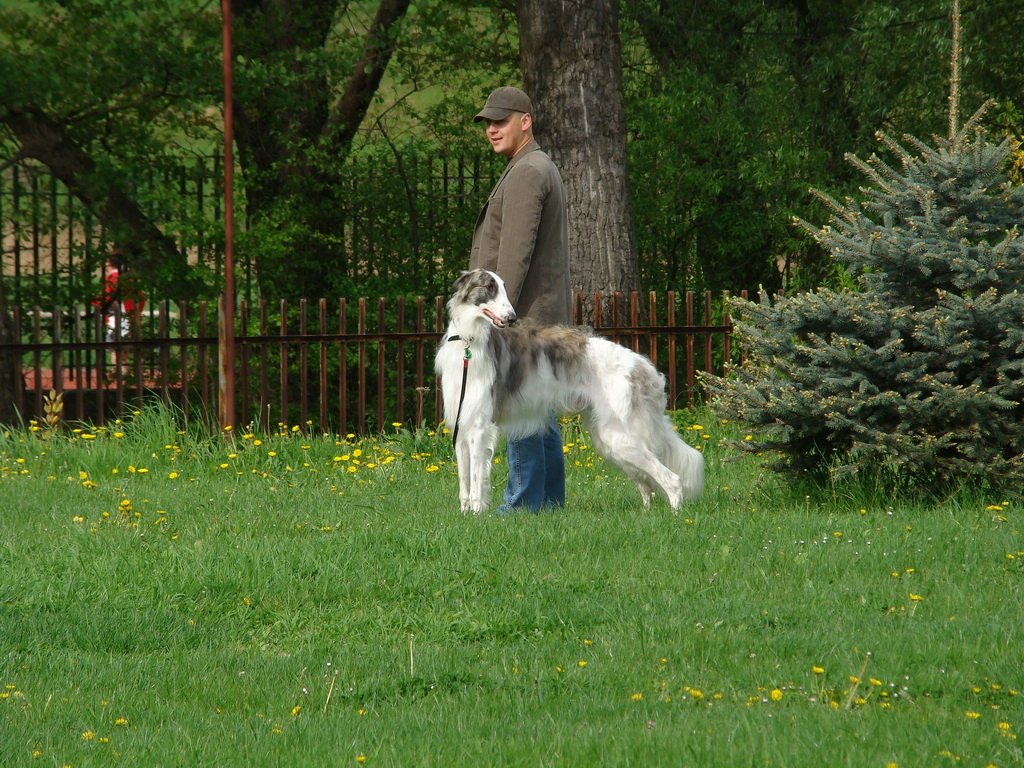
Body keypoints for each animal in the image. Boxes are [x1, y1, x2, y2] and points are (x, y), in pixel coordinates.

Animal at [432, 268, 704, 514]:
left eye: (504, 288)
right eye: (489, 287)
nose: (512, 318)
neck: (468, 342)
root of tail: (646, 369)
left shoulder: (479, 427)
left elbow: (477, 481)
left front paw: (477, 514)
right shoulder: (461, 425)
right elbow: (464, 482)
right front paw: (465, 514)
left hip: (620, 437)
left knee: (670, 478)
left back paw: (676, 515)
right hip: (609, 440)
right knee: (647, 484)